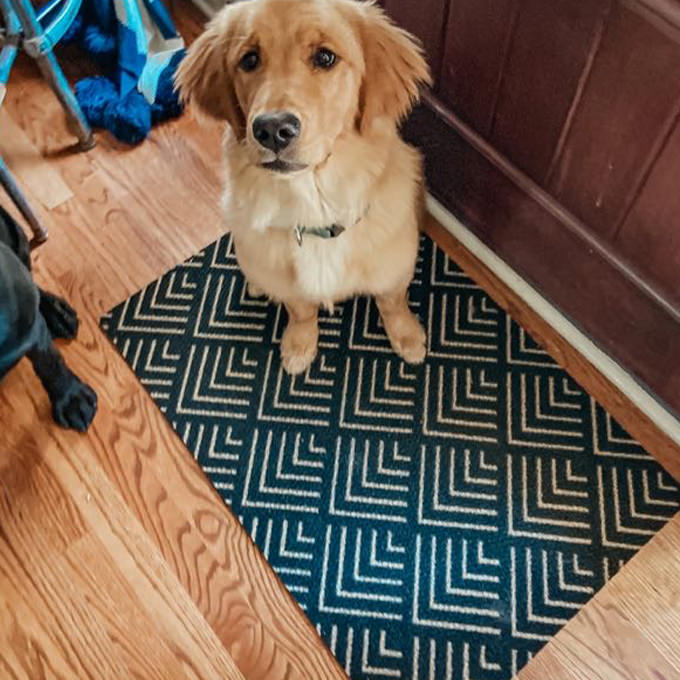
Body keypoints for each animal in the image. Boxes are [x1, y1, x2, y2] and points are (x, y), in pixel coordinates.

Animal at [175, 0, 430, 374]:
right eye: (249, 60)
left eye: (325, 57)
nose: (271, 129)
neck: (313, 203)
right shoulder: (288, 285)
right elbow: (301, 311)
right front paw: (299, 346)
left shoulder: (395, 266)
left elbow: (392, 302)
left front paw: (408, 337)